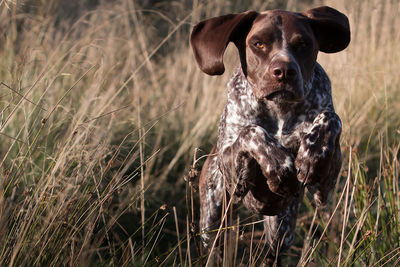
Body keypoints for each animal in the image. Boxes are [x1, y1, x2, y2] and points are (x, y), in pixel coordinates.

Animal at [191, 5, 350, 266]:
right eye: (258, 44)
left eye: (303, 43)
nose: (284, 71)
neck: (279, 110)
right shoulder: (230, 169)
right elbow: (251, 132)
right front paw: (278, 163)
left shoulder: (325, 186)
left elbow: (331, 117)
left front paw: (313, 153)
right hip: (213, 220)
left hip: (280, 229)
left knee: (272, 254)